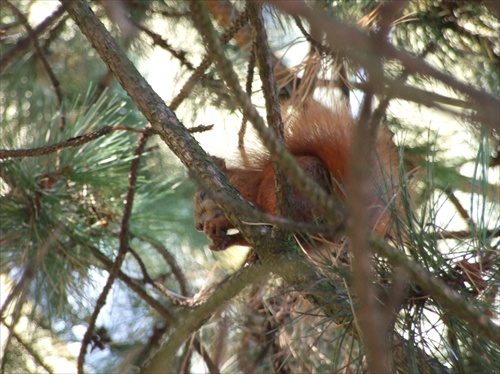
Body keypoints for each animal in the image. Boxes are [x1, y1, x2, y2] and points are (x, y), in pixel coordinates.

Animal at [192, 99, 398, 251]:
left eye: (202, 194)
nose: (198, 227)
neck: (234, 181)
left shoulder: (246, 189)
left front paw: (218, 224)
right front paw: (220, 241)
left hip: (273, 192)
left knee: (267, 218)